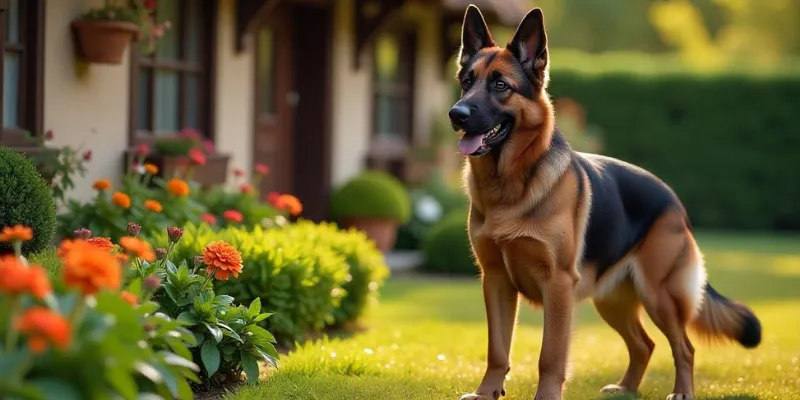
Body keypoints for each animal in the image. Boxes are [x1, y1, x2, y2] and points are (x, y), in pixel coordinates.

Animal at [450, 5, 764, 400]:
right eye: (466, 81)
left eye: (500, 85)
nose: (456, 114)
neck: (510, 186)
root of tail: (672, 198)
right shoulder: (495, 282)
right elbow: (497, 349)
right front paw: (486, 392)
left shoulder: (558, 286)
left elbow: (550, 355)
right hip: (612, 301)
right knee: (644, 344)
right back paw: (626, 388)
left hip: (659, 295)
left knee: (684, 347)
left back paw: (681, 391)